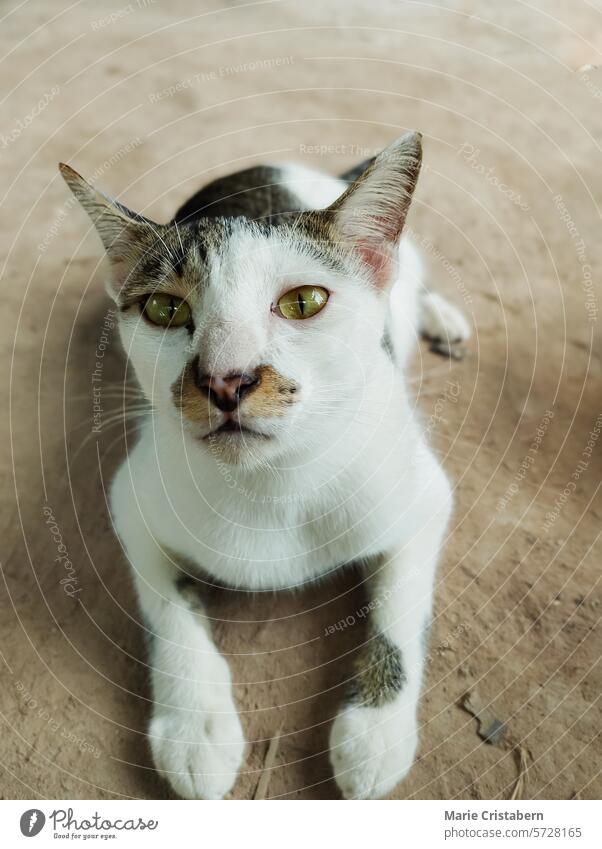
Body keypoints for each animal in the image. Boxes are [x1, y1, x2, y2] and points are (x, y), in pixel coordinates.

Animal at [61, 134, 472, 800]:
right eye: (163, 309)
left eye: (304, 302)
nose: (225, 380)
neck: (271, 484)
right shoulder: (133, 499)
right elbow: (168, 608)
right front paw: (196, 728)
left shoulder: (421, 495)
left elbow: (399, 605)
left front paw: (374, 732)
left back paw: (440, 316)